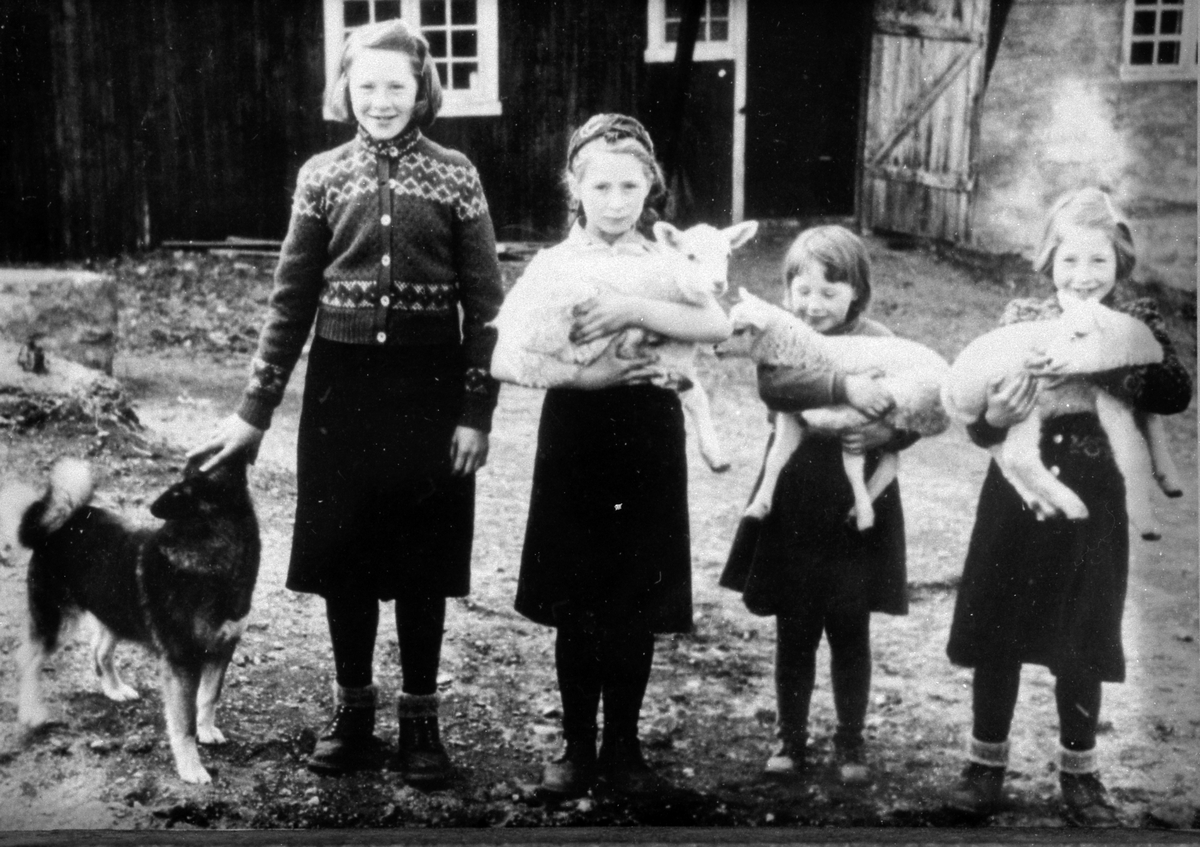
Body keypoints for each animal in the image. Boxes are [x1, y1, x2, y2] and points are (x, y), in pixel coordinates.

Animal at [2, 451, 260, 782]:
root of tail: (61, 523)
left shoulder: (222, 649)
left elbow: (209, 697)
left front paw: (206, 730)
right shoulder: (182, 662)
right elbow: (184, 722)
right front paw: (191, 767)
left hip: (115, 612)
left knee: (99, 652)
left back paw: (114, 689)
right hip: (58, 622)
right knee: (29, 660)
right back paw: (32, 712)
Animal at [489, 218, 758, 472]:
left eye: (727, 254)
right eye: (690, 256)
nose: (718, 284)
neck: (670, 280)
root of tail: (505, 328)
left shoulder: (678, 353)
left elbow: (698, 397)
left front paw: (715, 457)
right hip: (561, 315)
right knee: (559, 362)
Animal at [720, 286, 945, 530]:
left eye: (739, 330)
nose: (715, 348)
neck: (807, 351)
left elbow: (852, 467)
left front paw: (865, 516)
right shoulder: (789, 415)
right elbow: (775, 458)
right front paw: (758, 506)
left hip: (899, 393)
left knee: (855, 426)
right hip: (899, 414)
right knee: (888, 465)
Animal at [940, 293, 1176, 537]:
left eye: (1078, 335)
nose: (1047, 359)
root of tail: (949, 390)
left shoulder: (1138, 395)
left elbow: (1155, 426)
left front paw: (1169, 479)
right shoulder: (1110, 399)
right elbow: (1134, 455)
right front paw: (1147, 524)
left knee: (1003, 458)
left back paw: (1043, 504)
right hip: (1020, 397)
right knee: (1019, 456)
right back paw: (1073, 506)